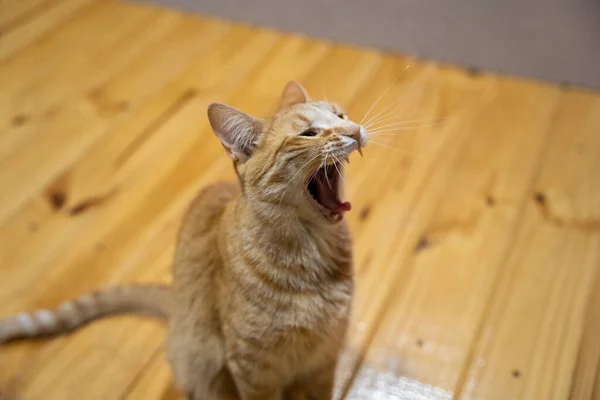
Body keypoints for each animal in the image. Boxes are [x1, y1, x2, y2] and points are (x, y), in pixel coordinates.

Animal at [0, 81, 368, 400]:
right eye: (309, 134)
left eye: (341, 115)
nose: (355, 130)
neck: (313, 254)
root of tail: (175, 303)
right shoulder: (253, 370)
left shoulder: (325, 357)